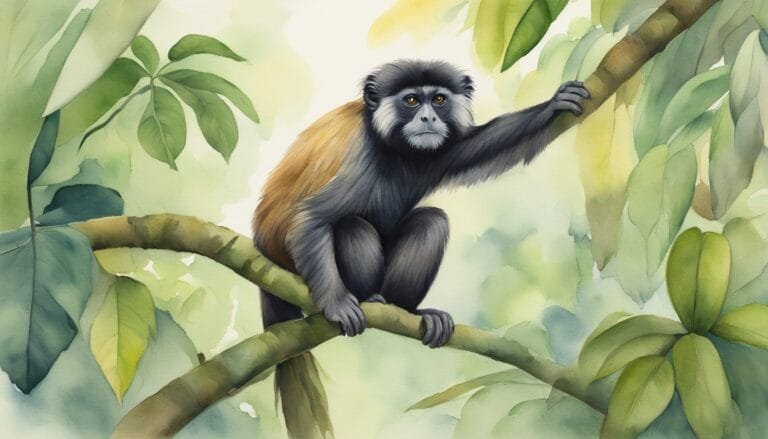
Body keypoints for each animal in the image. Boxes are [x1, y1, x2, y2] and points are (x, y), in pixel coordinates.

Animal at [252, 59, 589, 435]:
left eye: (438, 100)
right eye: (412, 100)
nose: (428, 118)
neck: (393, 145)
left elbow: (474, 148)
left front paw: (554, 105)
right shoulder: (361, 154)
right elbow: (311, 218)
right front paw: (338, 305)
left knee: (432, 221)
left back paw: (408, 310)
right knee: (351, 225)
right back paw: (368, 298)